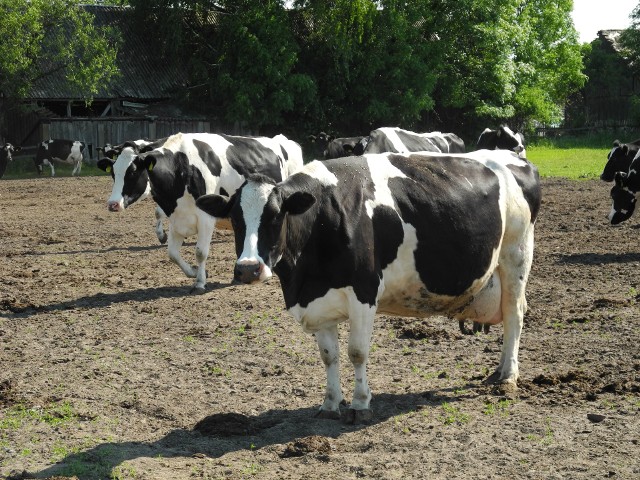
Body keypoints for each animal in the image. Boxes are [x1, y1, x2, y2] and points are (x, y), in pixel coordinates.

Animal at [103, 130, 304, 292]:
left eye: (132, 172)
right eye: (113, 173)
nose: (113, 204)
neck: (181, 167)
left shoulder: (205, 218)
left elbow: (200, 252)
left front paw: (200, 282)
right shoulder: (176, 217)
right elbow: (172, 254)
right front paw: (193, 272)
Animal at [198, 151, 544, 424]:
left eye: (275, 216)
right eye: (235, 218)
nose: (248, 268)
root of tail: (514, 158)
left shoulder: (364, 292)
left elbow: (357, 352)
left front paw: (361, 404)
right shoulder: (318, 301)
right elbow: (329, 356)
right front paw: (330, 404)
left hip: (516, 255)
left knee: (514, 315)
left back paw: (508, 375)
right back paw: (498, 371)